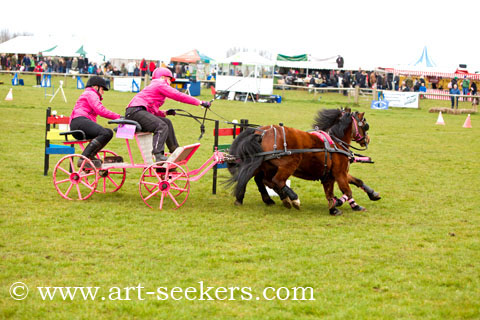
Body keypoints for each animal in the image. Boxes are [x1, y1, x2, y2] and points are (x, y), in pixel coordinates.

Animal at [227, 109, 380, 216]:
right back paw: (292, 199)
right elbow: (347, 191)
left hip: (265, 165)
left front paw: (370, 196)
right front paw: (346, 204)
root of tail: (262, 132)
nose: (367, 139)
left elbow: (353, 182)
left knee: (260, 180)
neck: (336, 142)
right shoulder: (339, 173)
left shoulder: (332, 175)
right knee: (275, 181)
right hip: (289, 164)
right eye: (365, 125)